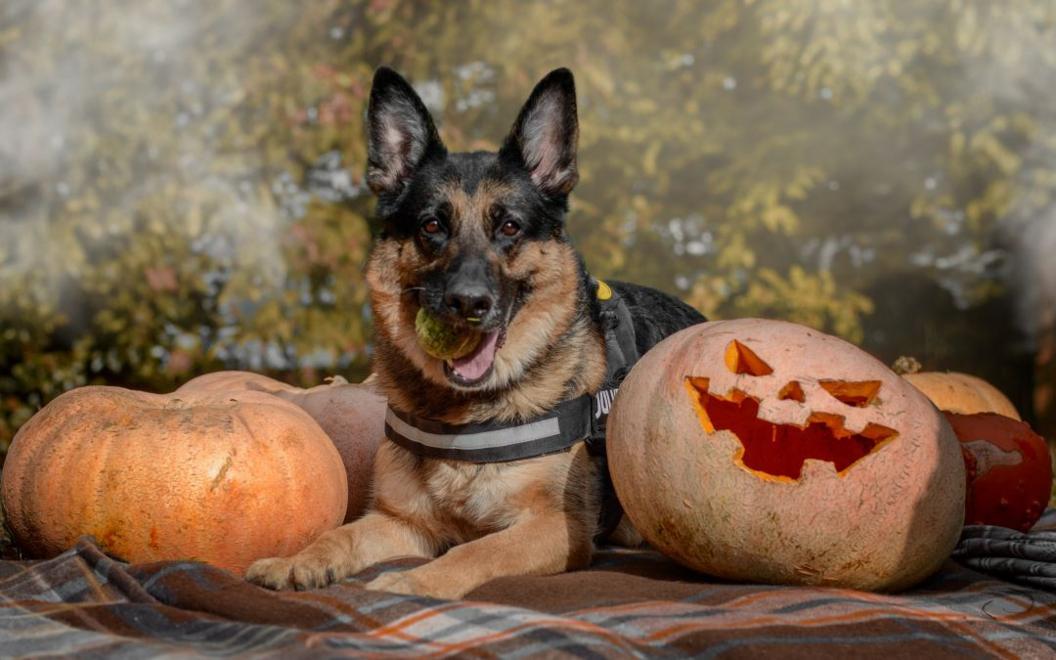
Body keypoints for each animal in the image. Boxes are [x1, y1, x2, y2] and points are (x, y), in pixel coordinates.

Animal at [244, 65, 701, 595]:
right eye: (431, 226)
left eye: (509, 227)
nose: (468, 302)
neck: (464, 415)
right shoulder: (402, 522)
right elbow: (341, 535)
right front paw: (299, 559)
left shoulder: (554, 528)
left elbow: (474, 551)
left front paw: (411, 584)